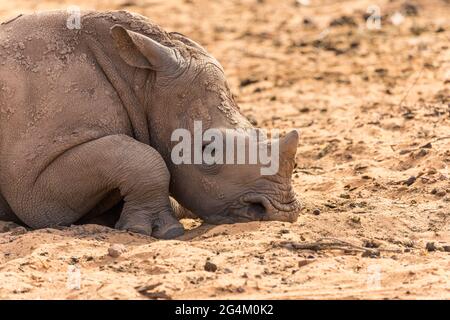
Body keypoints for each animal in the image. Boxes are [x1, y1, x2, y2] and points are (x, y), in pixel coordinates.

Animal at [0, 10, 302, 239]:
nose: (281, 211)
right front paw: (156, 231)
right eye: (209, 150)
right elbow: (143, 158)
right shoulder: (35, 189)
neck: (143, 82)